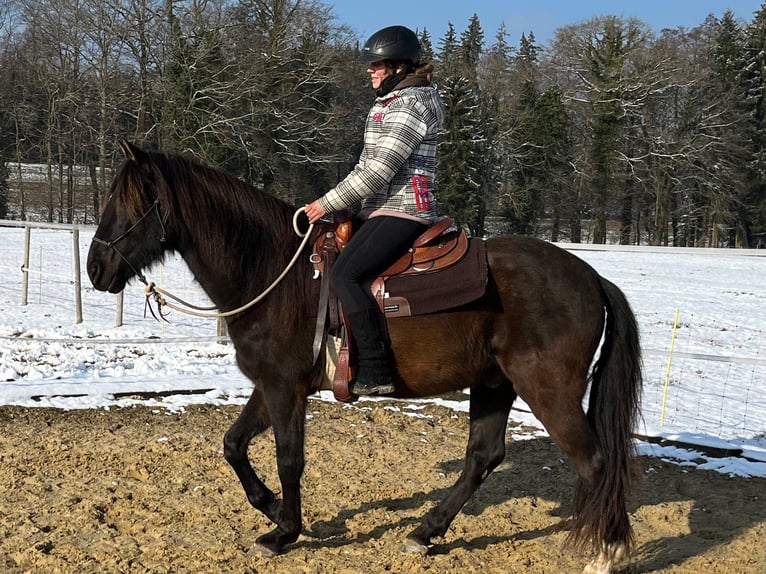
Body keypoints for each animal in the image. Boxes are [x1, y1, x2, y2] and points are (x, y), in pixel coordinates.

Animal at [87, 141, 644, 574]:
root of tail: (592, 278)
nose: (95, 268)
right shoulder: (271, 385)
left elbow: (290, 459)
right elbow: (233, 445)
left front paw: (284, 532)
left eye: (126, 203)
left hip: (548, 389)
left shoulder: (285, 388)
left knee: (594, 462)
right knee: (483, 458)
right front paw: (271, 510)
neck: (274, 272)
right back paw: (425, 532)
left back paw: (608, 553)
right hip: (493, 384)